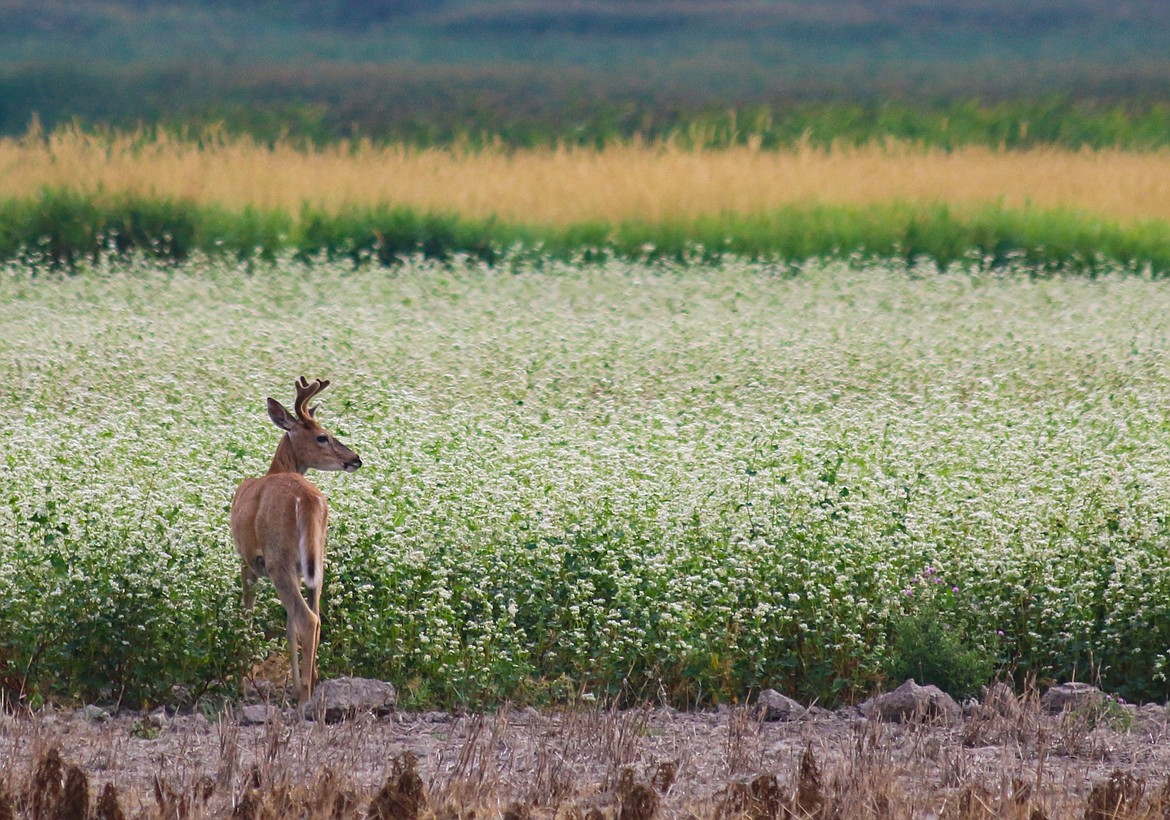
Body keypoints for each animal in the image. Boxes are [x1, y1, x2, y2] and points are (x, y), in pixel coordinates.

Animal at [226, 376, 355, 701]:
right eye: (323, 437)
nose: (355, 459)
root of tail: (307, 499)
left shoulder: (248, 559)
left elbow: (247, 614)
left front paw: (240, 680)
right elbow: (287, 625)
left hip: (277, 559)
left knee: (307, 619)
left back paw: (305, 694)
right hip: (316, 560)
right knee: (314, 616)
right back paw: (310, 683)